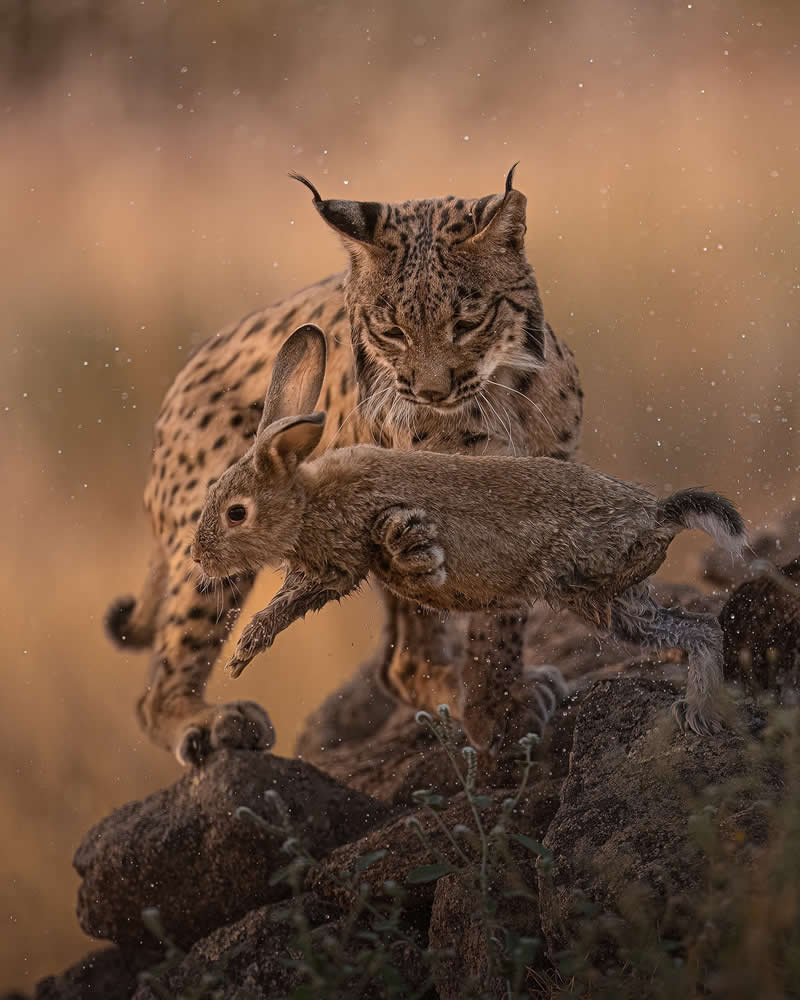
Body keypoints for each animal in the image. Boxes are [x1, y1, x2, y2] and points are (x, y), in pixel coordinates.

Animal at [192, 324, 746, 739]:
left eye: (236, 513)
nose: (200, 558)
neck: (307, 499)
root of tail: (657, 515)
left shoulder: (338, 564)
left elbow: (290, 603)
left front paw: (243, 651)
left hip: (588, 584)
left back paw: (700, 715)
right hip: (613, 600)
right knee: (699, 628)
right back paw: (700, 713)